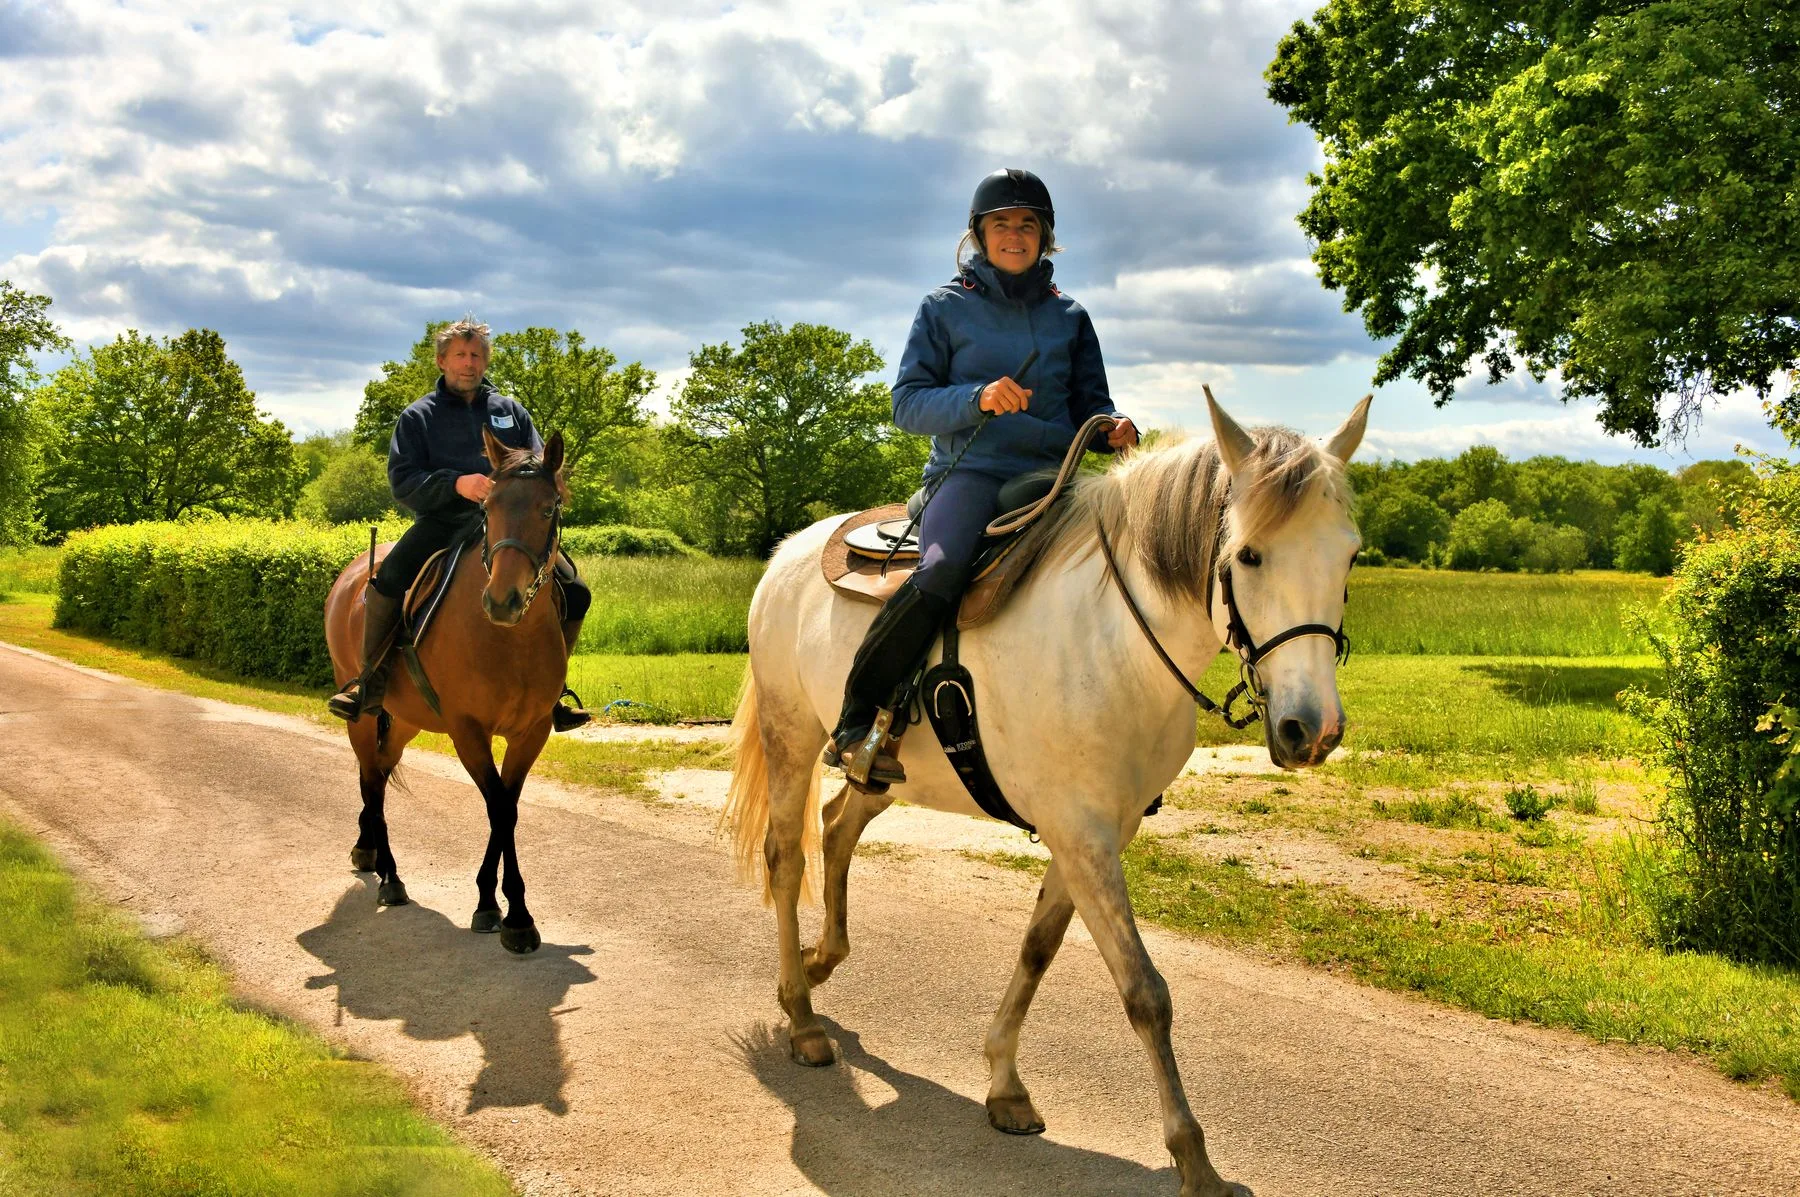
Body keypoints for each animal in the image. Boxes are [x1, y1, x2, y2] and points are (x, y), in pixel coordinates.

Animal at [323, 429, 571, 956]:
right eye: (488, 507)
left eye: (547, 508)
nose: (502, 601)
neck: (510, 639)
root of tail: (351, 574)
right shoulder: (468, 731)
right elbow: (499, 807)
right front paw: (515, 916)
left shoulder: (532, 733)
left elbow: (507, 809)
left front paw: (491, 903)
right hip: (364, 714)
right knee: (371, 779)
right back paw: (390, 876)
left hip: (405, 720)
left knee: (378, 772)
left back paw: (369, 852)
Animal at [723, 392, 1371, 1197]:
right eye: (1249, 554)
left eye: (1350, 554)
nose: (1312, 729)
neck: (1116, 641)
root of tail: (789, 553)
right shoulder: (1080, 833)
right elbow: (1145, 992)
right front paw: (1193, 1158)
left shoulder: (1095, 832)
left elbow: (1038, 949)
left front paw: (1004, 1083)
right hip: (791, 733)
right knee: (787, 856)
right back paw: (803, 1016)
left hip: (884, 772)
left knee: (839, 824)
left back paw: (821, 961)